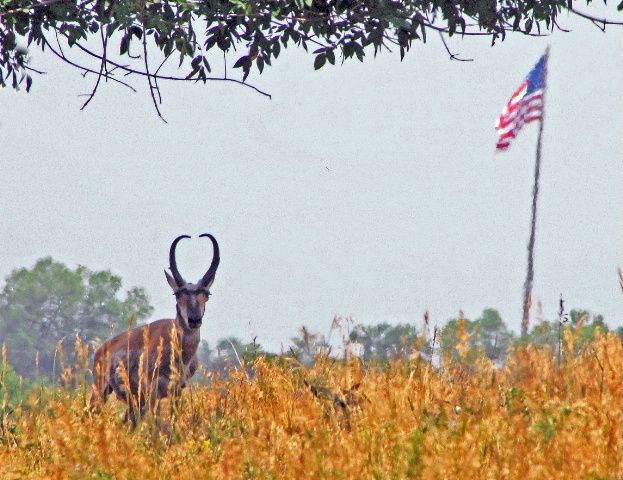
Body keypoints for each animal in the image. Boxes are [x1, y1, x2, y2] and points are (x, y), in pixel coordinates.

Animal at [90, 234, 221, 426]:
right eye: (177, 293)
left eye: (207, 293)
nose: (194, 319)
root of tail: (102, 348)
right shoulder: (151, 392)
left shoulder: (177, 390)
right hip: (101, 390)